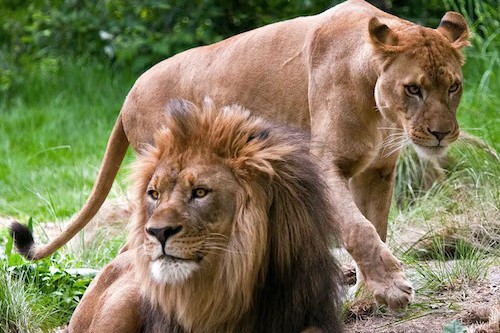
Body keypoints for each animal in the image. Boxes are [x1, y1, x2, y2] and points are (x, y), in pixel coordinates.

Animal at [10, 0, 468, 308]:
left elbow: (376, 227)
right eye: (413, 88)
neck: (378, 105)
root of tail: (127, 97)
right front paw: (392, 286)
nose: (442, 134)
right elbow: (358, 229)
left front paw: (367, 296)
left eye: (454, 86)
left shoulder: (378, 171)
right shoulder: (324, 163)